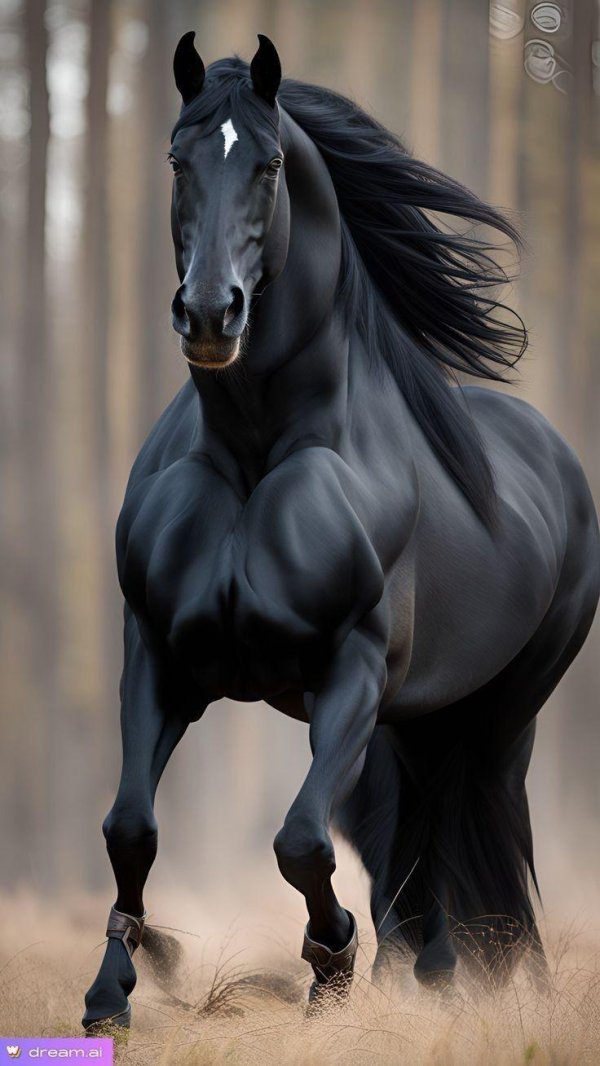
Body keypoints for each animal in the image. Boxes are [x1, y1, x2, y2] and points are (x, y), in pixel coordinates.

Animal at [83, 33, 600, 1030]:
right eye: (176, 159)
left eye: (271, 165)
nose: (211, 314)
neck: (253, 453)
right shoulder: (158, 652)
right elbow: (130, 826)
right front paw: (118, 987)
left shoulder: (350, 667)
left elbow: (299, 842)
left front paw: (330, 964)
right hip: (419, 718)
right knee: (419, 830)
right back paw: (428, 968)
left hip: (495, 715)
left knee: (470, 819)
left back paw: (467, 973)